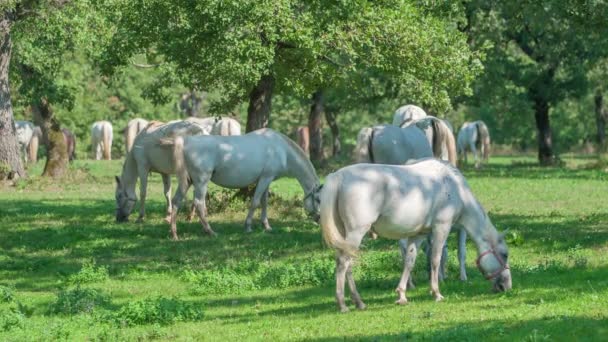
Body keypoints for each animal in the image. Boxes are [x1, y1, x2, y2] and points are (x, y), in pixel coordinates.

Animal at [162, 129, 324, 240]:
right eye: (318, 199)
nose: (319, 219)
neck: (281, 149)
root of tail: (187, 141)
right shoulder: (265, 178)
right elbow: (255, 202)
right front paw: (248, 226)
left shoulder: (267, 180)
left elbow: (264, 203)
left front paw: (266, 226)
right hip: (201, 181)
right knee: (199, 203)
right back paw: (210, 231)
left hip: (187, 182)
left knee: (176, 201)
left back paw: (174, 233)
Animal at [320, 159, 510, 312]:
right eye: (504, 254)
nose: (507, 286)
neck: (455, 188)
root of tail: (338, 176)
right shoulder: (442, 227)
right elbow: (435, 259)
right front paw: (436, 293)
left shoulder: (418, 235)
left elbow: (409, 262)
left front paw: (402, 295)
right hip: (356, 232)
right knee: (343, 263)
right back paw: (343, 304)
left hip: (347, 236)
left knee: (348, 265)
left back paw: (359, 302)